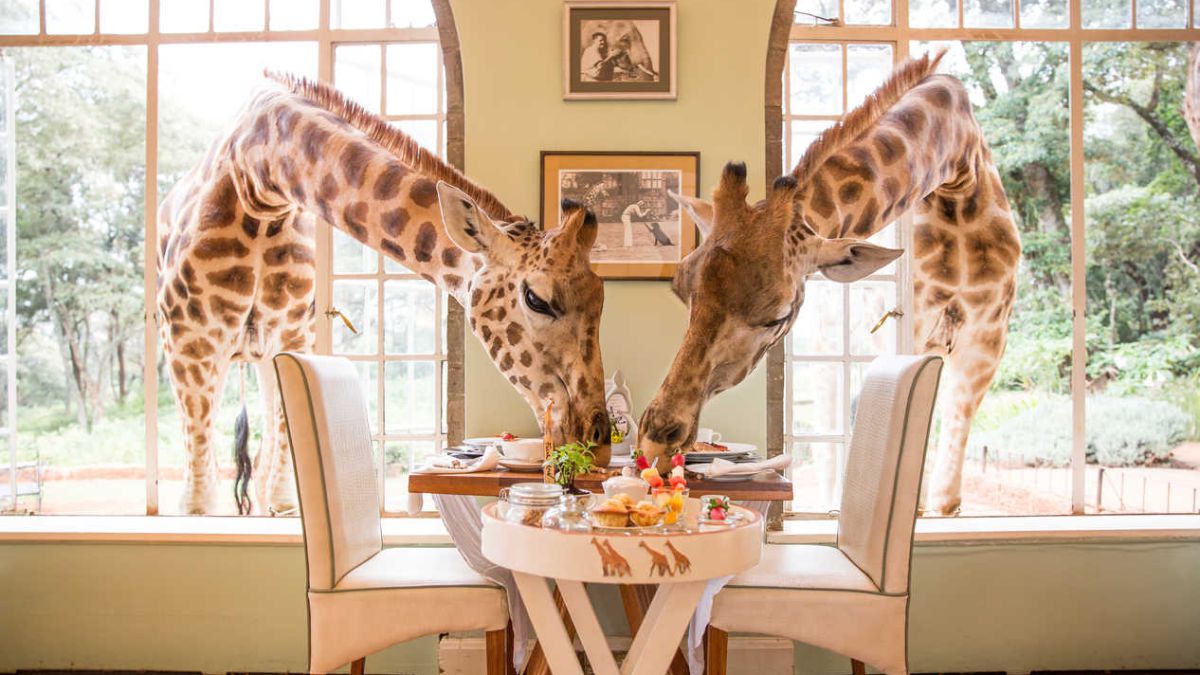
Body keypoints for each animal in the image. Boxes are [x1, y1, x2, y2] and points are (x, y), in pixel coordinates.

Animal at [158, 73, 610, 515]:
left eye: (601, 300)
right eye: (537, 300)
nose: (600, 442)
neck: (259, 179)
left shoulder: (292, 338)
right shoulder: (189, 343)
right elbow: (198, 503)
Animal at [636, 51, 1021, 516]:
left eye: (778, 315)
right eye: (680, 288)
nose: (655, 442)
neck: (957, 171)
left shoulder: (984, 343)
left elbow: (946, 491)